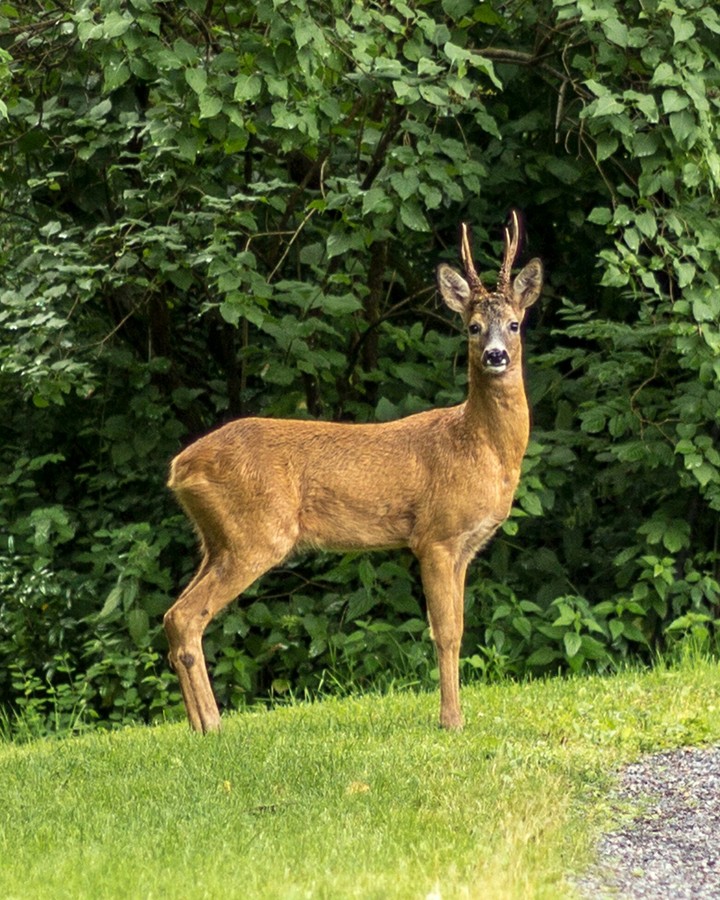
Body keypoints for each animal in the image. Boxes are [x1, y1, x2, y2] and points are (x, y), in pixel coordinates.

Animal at [164, 211, 543, 733]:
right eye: (472, 326)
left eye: (514, 323)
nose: (495, 355)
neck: (480, 447)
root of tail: (179, 467)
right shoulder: (435, 536)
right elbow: (445, 632)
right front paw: (451, 721)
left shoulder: (464, 548)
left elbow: (461, 628)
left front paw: (454, 716)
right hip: (255, 534)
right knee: (187, 616)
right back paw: (213, 727)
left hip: (216, 538)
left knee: (173, 615)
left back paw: (202, 726)